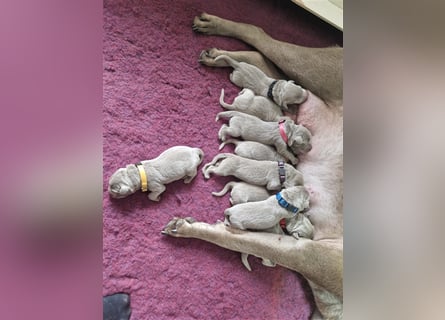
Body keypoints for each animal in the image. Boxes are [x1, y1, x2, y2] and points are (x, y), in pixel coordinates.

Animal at [161, 13, 342, 320]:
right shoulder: (311, 254)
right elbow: (239, 240)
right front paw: (191, 228)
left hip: (297, 94)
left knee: (266, 65)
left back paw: (217, 54)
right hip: (322, 72)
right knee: (260, 35)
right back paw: (216, 30)